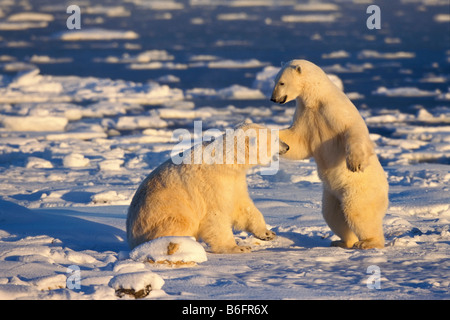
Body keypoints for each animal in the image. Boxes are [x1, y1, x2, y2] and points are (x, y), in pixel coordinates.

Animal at [126, 121, 288, 254]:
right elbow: (216, 215)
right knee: (179, 225)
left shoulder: (234, 180)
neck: (225, 161)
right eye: (275, 139)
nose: (287, 147)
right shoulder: (210, 183)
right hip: (165, 215)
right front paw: (238, 248)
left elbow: (242, 206)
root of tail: (131, 240)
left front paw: (267, 233)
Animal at [268, 60, 388, 250]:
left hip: (358, 190)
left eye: (281, 83)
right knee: (333, 215)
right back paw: (341, 241)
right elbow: (297, 141)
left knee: (359, 212)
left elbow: (353, 131)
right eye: (275, 81)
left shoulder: (334, 110)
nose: (273, 99)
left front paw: (355, 163)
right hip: (332, 195)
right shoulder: (306, 114)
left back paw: (368, 242)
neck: (317, 98)